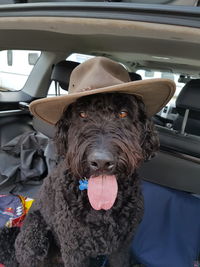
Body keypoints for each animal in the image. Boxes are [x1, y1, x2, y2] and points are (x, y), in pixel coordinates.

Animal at [0, 93, 159, 266]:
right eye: (82, 114)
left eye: (123, 113)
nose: (101, 162)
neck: (102, 209)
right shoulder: (74, 249)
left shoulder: (122, 246)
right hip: (33, 238)